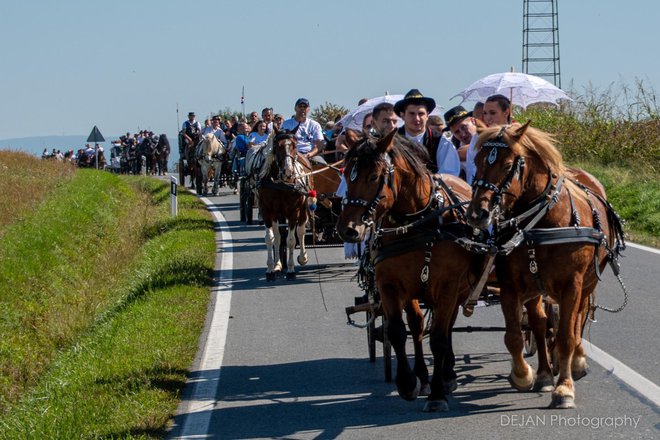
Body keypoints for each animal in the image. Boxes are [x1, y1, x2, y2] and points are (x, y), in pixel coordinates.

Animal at [258, 127, 314, 280]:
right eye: (277, 146)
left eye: (295, 145)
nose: (288, 172)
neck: (281, 184)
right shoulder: (267, 211)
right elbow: (270, 239)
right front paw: (270, 269)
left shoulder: (293, 211)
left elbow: (290, 240)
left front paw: (290, 270)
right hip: (277, 214)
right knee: (278, 237)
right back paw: (278, 266)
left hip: (303, 208)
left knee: (300, 231)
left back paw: (303, 257)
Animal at [338, 130, 482, 412]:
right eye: (346, 172)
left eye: (374, 176)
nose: (349, 229)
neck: (416, 224)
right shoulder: (390, 285)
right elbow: (397, 331)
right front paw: (408, 383)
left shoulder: (448, 285)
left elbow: (438, 338)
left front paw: (437, 394)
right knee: (417, 325)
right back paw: (424, 376)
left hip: (456, 289)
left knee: (446, 326)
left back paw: (447, 374)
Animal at [464, 123, 624, 410]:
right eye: (477, 161)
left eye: (508, 165)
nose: (476, 214)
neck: (543, 223)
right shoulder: (512, 284)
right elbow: (515, 335)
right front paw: (525, 375)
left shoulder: (572, 284)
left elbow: (566, 335)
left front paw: (564, 388)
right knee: (539, 325)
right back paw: (545, 373)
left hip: (588, 282)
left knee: (578, 317)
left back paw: (576, 361)